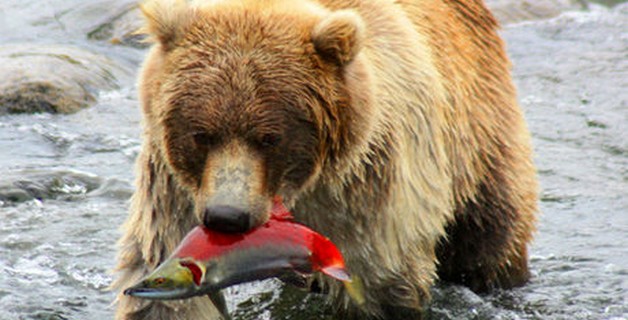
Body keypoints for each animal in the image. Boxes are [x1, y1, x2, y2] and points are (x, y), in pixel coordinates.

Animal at [111, 0, 536, 318]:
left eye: (270, 137)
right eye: (201, 134)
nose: (226, 217)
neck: (302, 185)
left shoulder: (369, 188)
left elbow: (380, 281)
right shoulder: (174, 189)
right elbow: (164, 281)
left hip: (479, 137)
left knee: (490, 237)